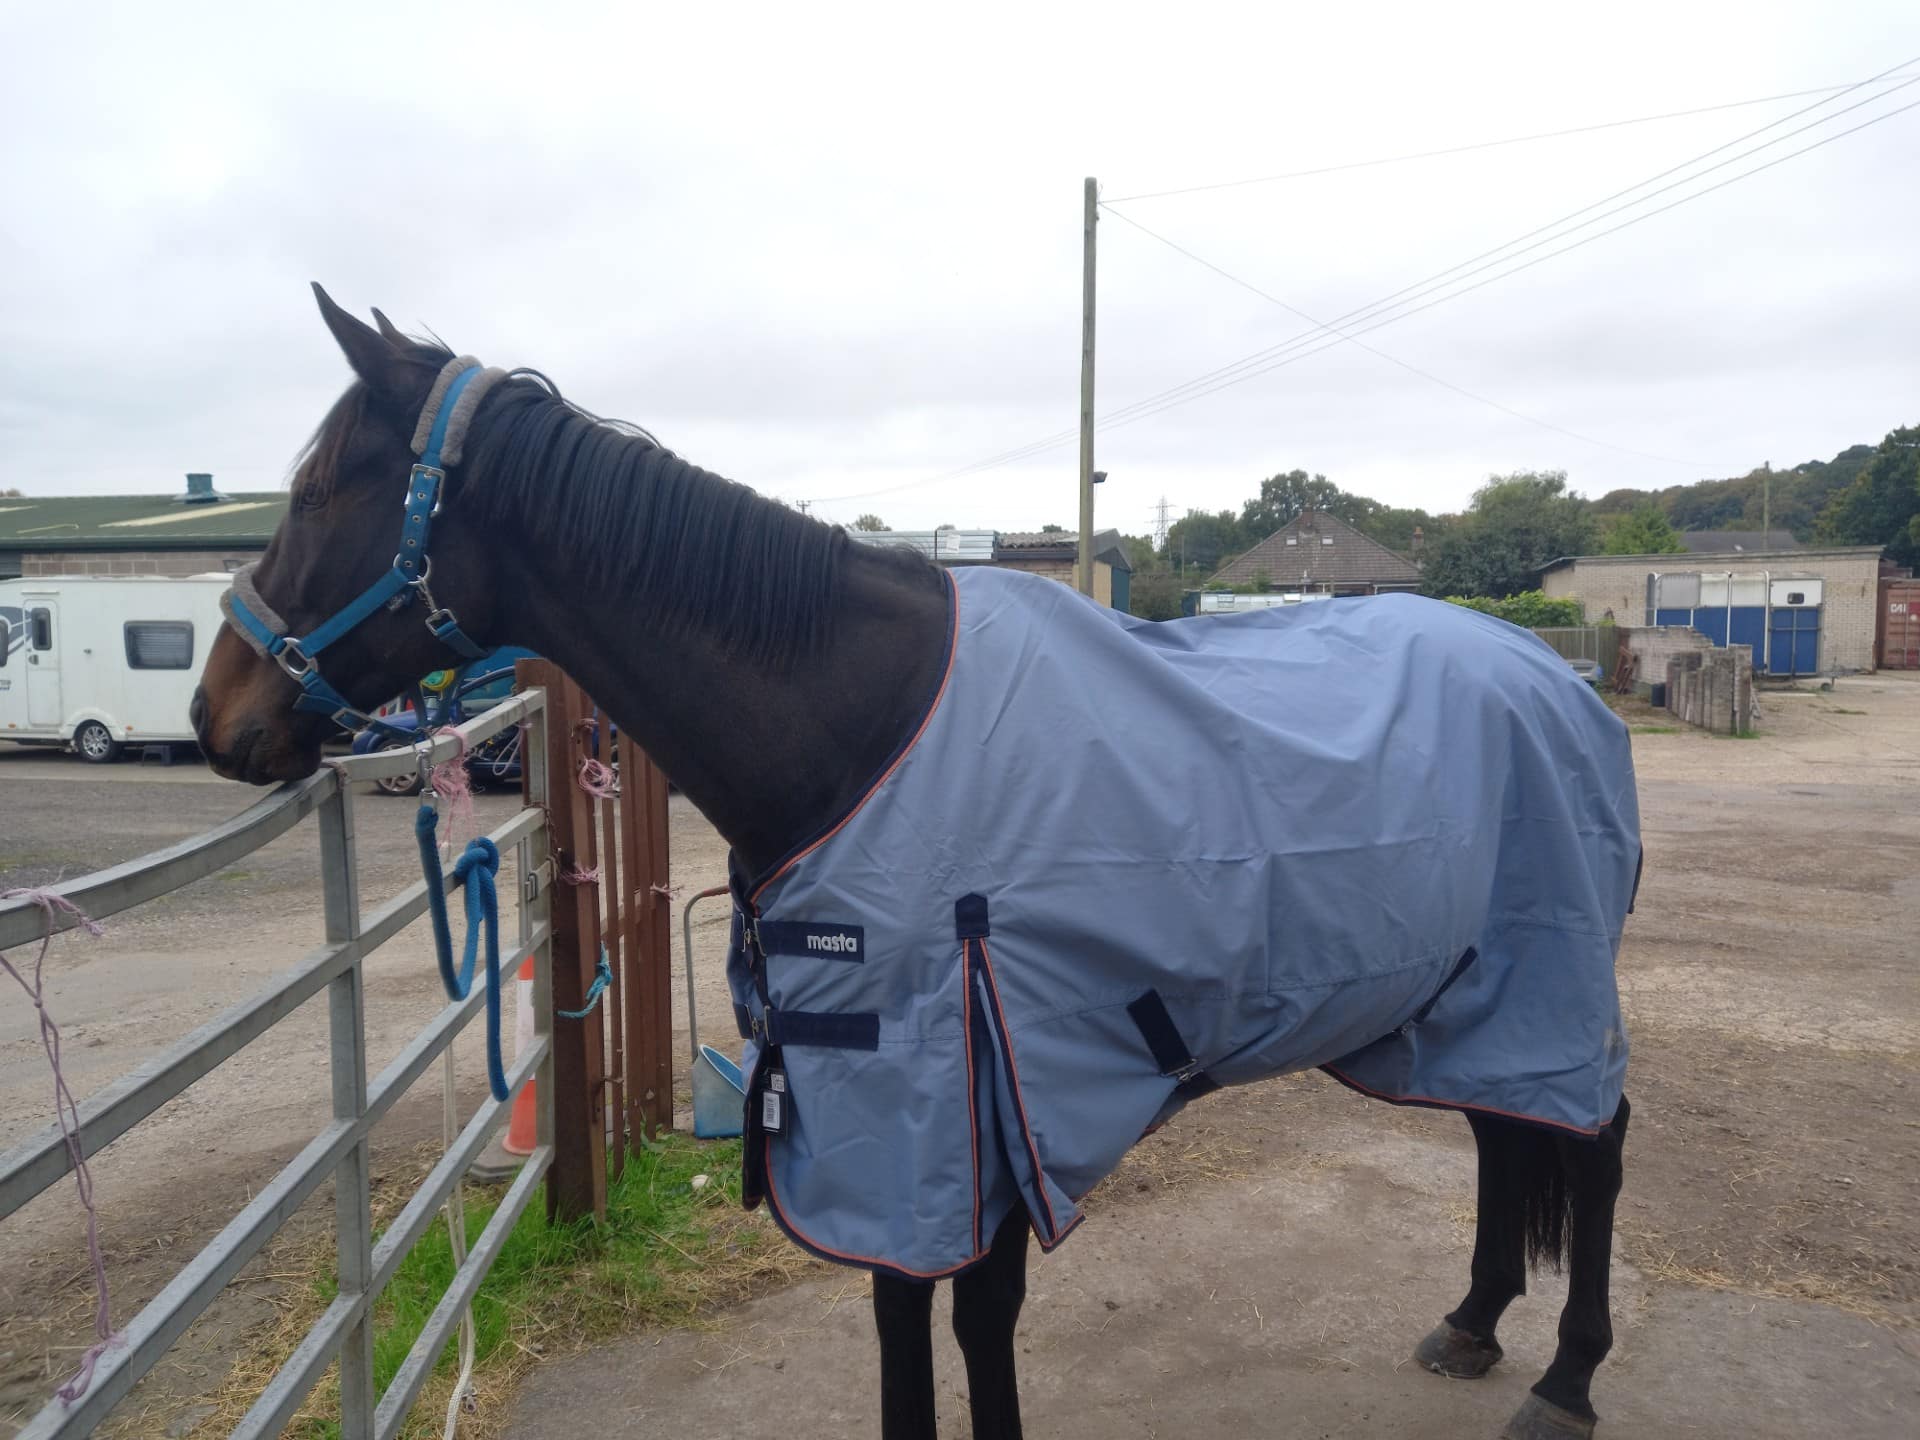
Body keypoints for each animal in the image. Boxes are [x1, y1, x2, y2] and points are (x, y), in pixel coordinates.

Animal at [193, 287, 1637, 1440]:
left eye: (318, 491)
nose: (217, 713)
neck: (862, 720)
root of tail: (1549, 673)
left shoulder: (980, 1091)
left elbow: (975, 1323)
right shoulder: (875, 1107)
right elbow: (898, 1323)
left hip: (1548, 972)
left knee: (1594, 1140)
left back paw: (1565, 1380)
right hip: (1459, 989)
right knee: (1508, 1132)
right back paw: (1472, 1322)